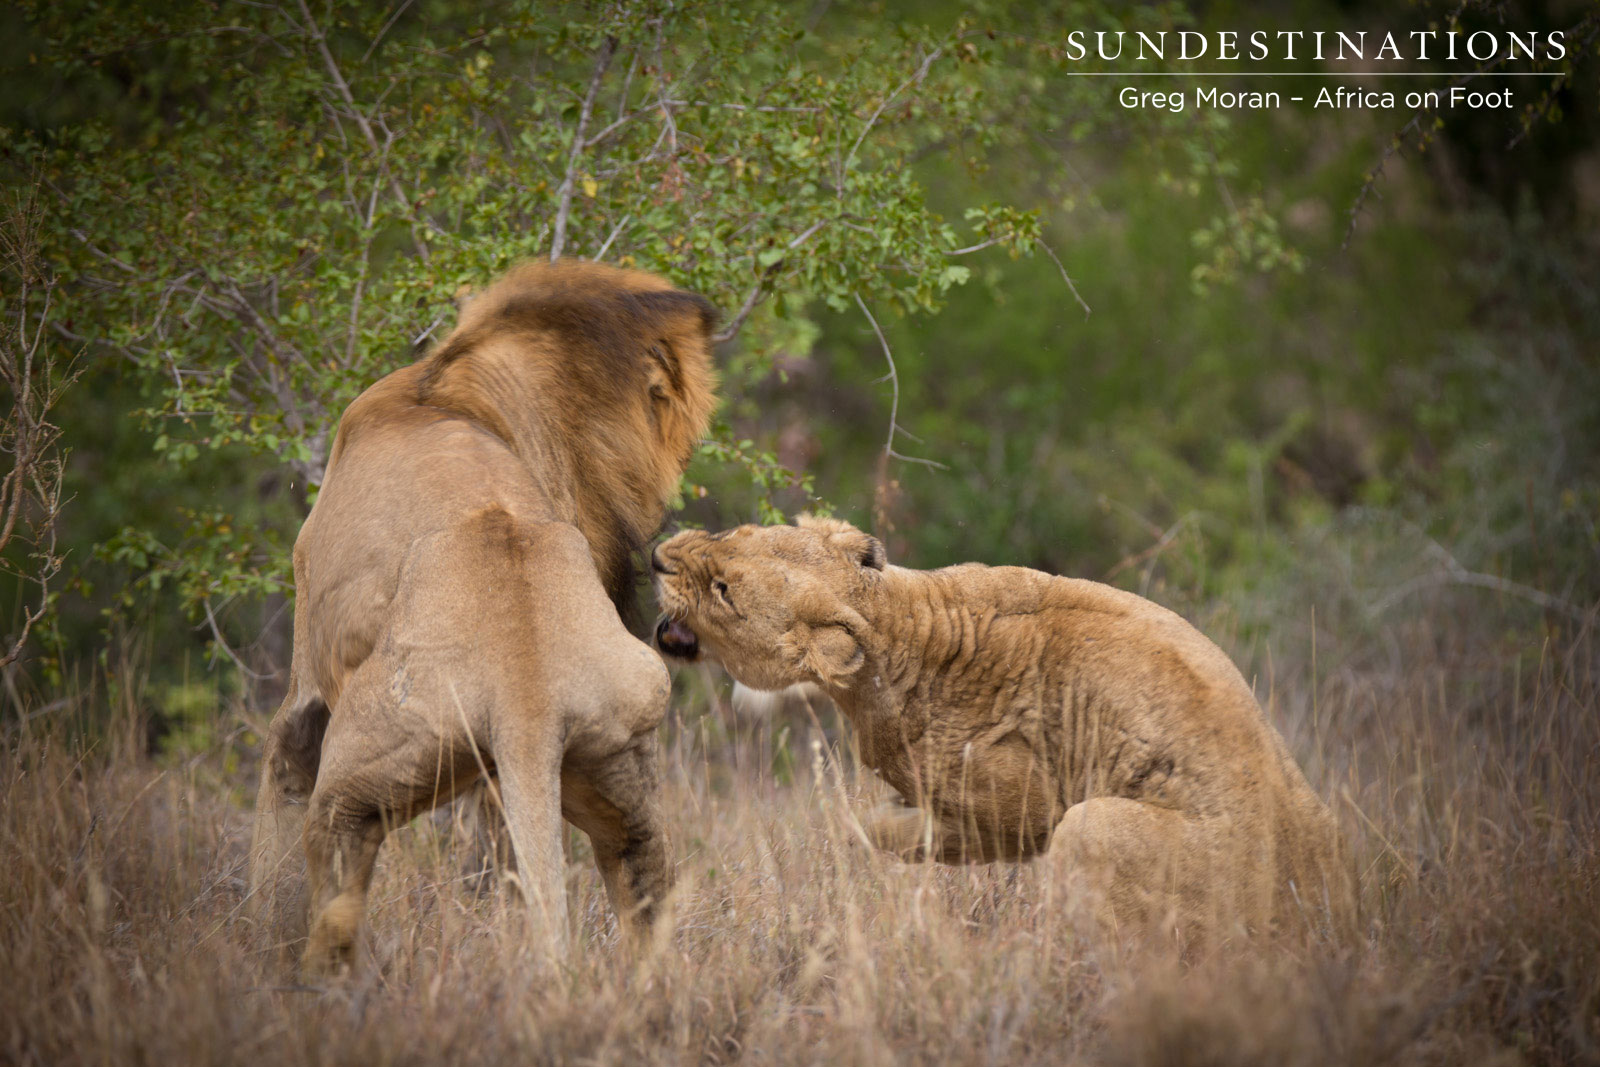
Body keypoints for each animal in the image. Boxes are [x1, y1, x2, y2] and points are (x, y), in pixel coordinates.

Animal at [248, 260, 718, 972]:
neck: (452, 381)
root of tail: (528, 691)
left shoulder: (307, 671)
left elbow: (284, 764)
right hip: (619, 766)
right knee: (634, 880)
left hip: (362, 779)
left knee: (336, 860)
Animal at [652, 516, 1358, 943]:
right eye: (734, 531)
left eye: (723, 590)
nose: (657, 557)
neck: (897, 626)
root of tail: (1328, 917)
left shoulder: (1032, 807)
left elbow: (881, 831)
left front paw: (914, 838)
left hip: (1096, 828)